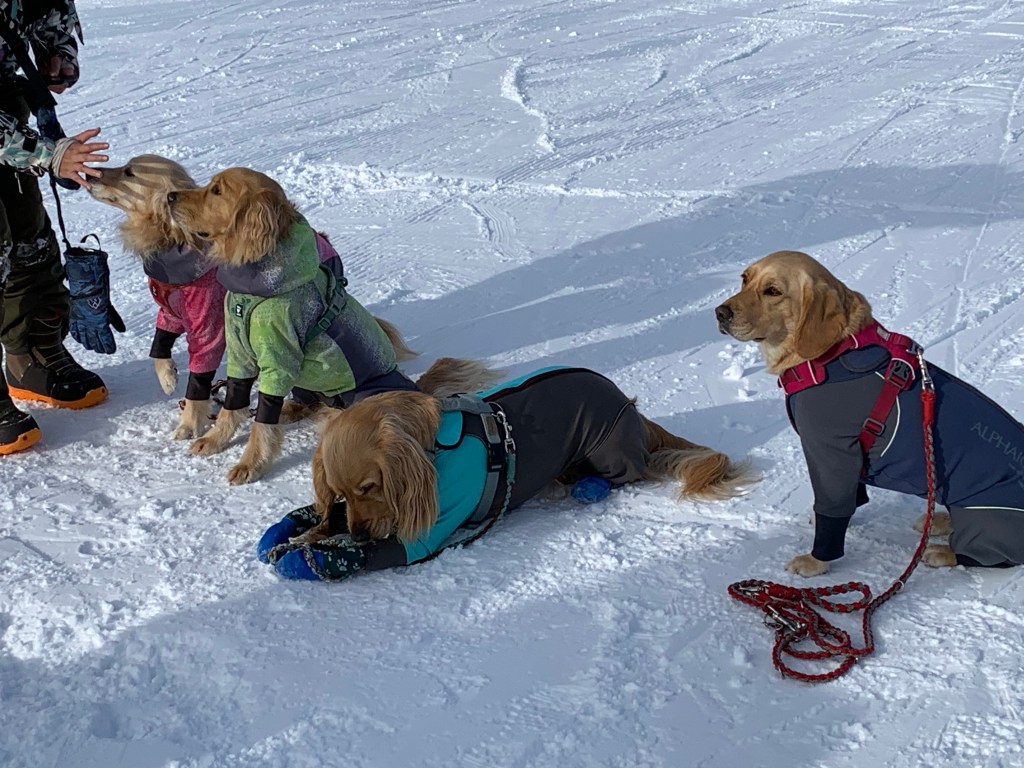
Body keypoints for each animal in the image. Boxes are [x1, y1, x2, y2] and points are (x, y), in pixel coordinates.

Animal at [166, 166, 494, 484]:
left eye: (216, 190)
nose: (169, 196)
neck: (254, 289)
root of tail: (418, 391)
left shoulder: (278, 359)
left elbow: (262, 424)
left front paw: (251, 464)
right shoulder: (241, 355)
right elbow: (233, 405)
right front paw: (214, 440)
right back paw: (289, 410)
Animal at [285, 367, 752, 577]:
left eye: (369, 486)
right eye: (341, 492)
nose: (361, 534)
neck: (434, 447)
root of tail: (629, 404)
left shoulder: (426, 535)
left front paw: (312, 556)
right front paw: (304, 532)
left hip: (610, 450)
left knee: (629, 474)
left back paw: (588, 486)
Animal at [716, 250, 1024, 576]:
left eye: (773, 291)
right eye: (745, 279)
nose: (720, 313)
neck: (831, 356)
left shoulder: (831, 455)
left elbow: (832, 512)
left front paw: (816, 561)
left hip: (989, 519)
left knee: (987, 556)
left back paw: (942, 551)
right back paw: (940, 521)